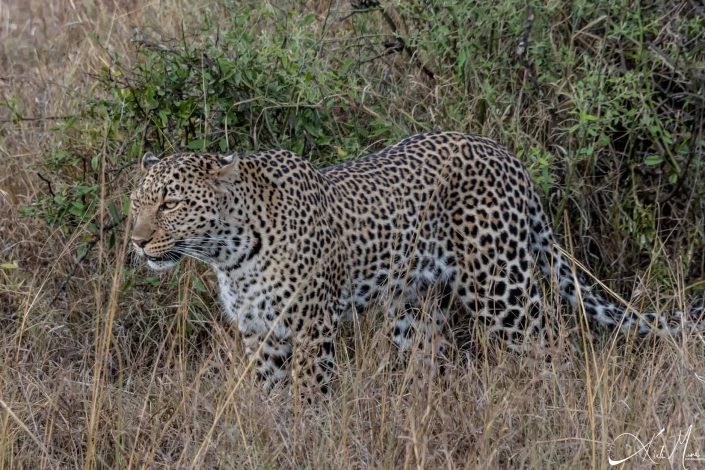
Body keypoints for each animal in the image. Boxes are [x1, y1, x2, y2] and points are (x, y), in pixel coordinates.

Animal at [129, 130, 700, 398]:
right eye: (137, 201)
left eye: (171, 204)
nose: (136, 241)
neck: (229, 252)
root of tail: (505, 154)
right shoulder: (260, 332)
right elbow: (269, 397)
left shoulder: (313, 327)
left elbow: (309, 395)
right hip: (415, 306)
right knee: (434, 366)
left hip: (504, 288)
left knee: (550, 350)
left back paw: (552, 414)